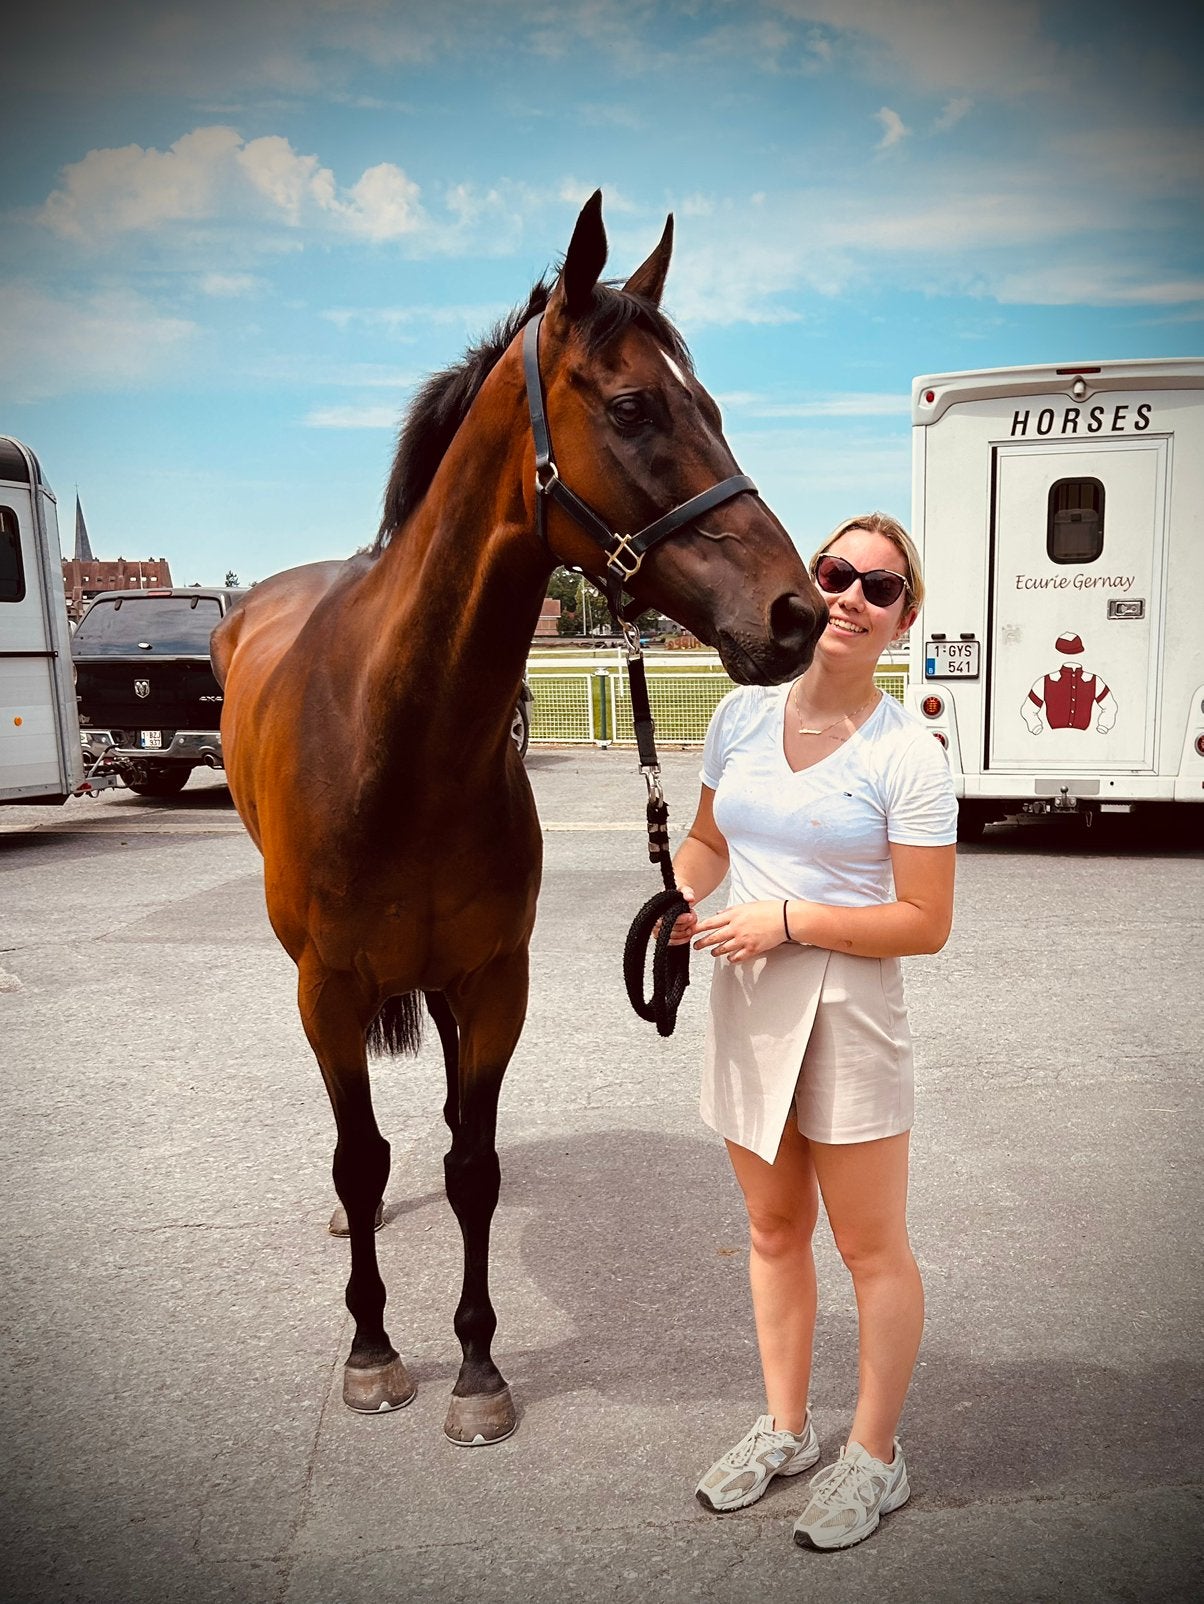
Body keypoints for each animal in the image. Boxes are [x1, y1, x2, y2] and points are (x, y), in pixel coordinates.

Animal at [211, 191, 827, 1446]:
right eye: (635, 405)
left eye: (714, 406)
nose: (794, 613)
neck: (397, 743)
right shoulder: (326, 987)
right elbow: (361, 1157)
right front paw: (374, 1350)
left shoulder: (498, 974)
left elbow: (475, 1165)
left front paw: (477, 1366)